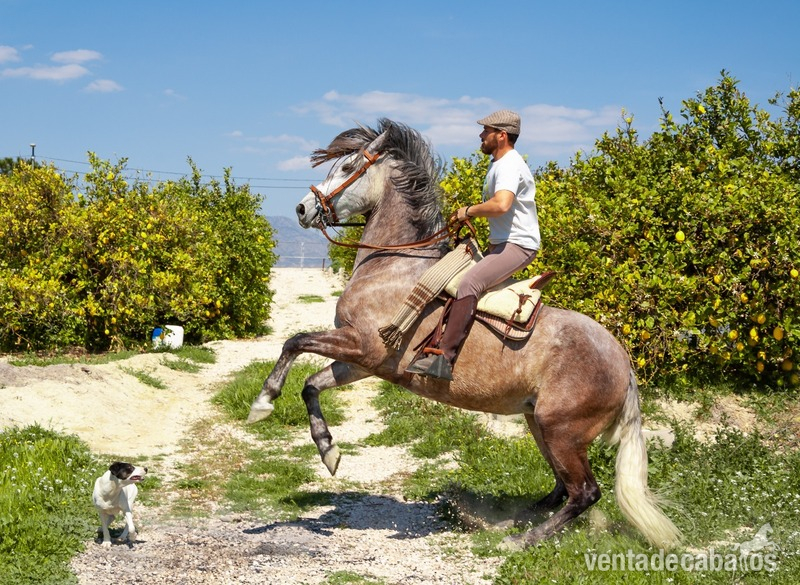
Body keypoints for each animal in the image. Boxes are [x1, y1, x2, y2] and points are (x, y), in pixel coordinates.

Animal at [248, 119, 681, 550]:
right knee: (562, 488)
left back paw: (520, 539)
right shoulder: (365, 362)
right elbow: (311, 384)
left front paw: (263, 404)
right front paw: (328, 451)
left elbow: (295, 342)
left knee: (585, 492)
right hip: (541, 424)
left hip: (562, 430)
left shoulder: (363, 346)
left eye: (348, 167)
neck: (393, 264)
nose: (303, 208)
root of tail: (623, 363)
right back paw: (512, 520)